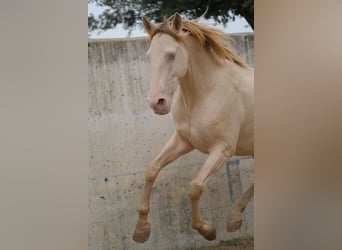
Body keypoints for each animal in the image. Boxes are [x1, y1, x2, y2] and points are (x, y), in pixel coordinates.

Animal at [133, 12, 254, 243]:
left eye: (171, 55)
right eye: (149, 56)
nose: (157, 102)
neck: (204, 94)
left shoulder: (222, 149)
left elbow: (195, 187)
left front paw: (207, 229)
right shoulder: (183, 141)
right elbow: (152, 169)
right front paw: (141, 229)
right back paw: (235, 219)